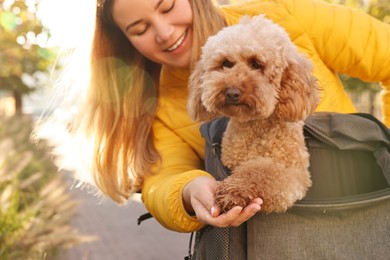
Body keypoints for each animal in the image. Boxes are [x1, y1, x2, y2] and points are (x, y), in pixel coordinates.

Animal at [187, 14, 318, 213]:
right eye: (226, 63)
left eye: (256, 64)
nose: (232, 92)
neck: (254, 126)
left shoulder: (295, 173)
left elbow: (260, 171)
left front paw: (234, 192)